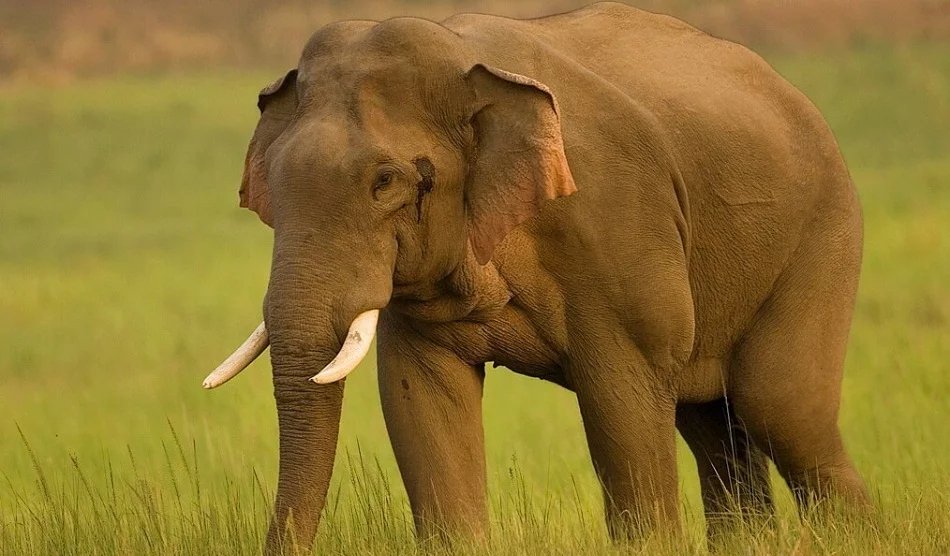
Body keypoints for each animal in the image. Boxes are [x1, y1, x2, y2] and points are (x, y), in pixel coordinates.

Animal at [202, 2, 869, 552]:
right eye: (271, 183)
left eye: (385, 182)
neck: (460, 55)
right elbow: (422, 400)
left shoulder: (617, 220)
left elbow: (621, 398)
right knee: (712, 422)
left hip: (824, 231)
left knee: (780, 407)